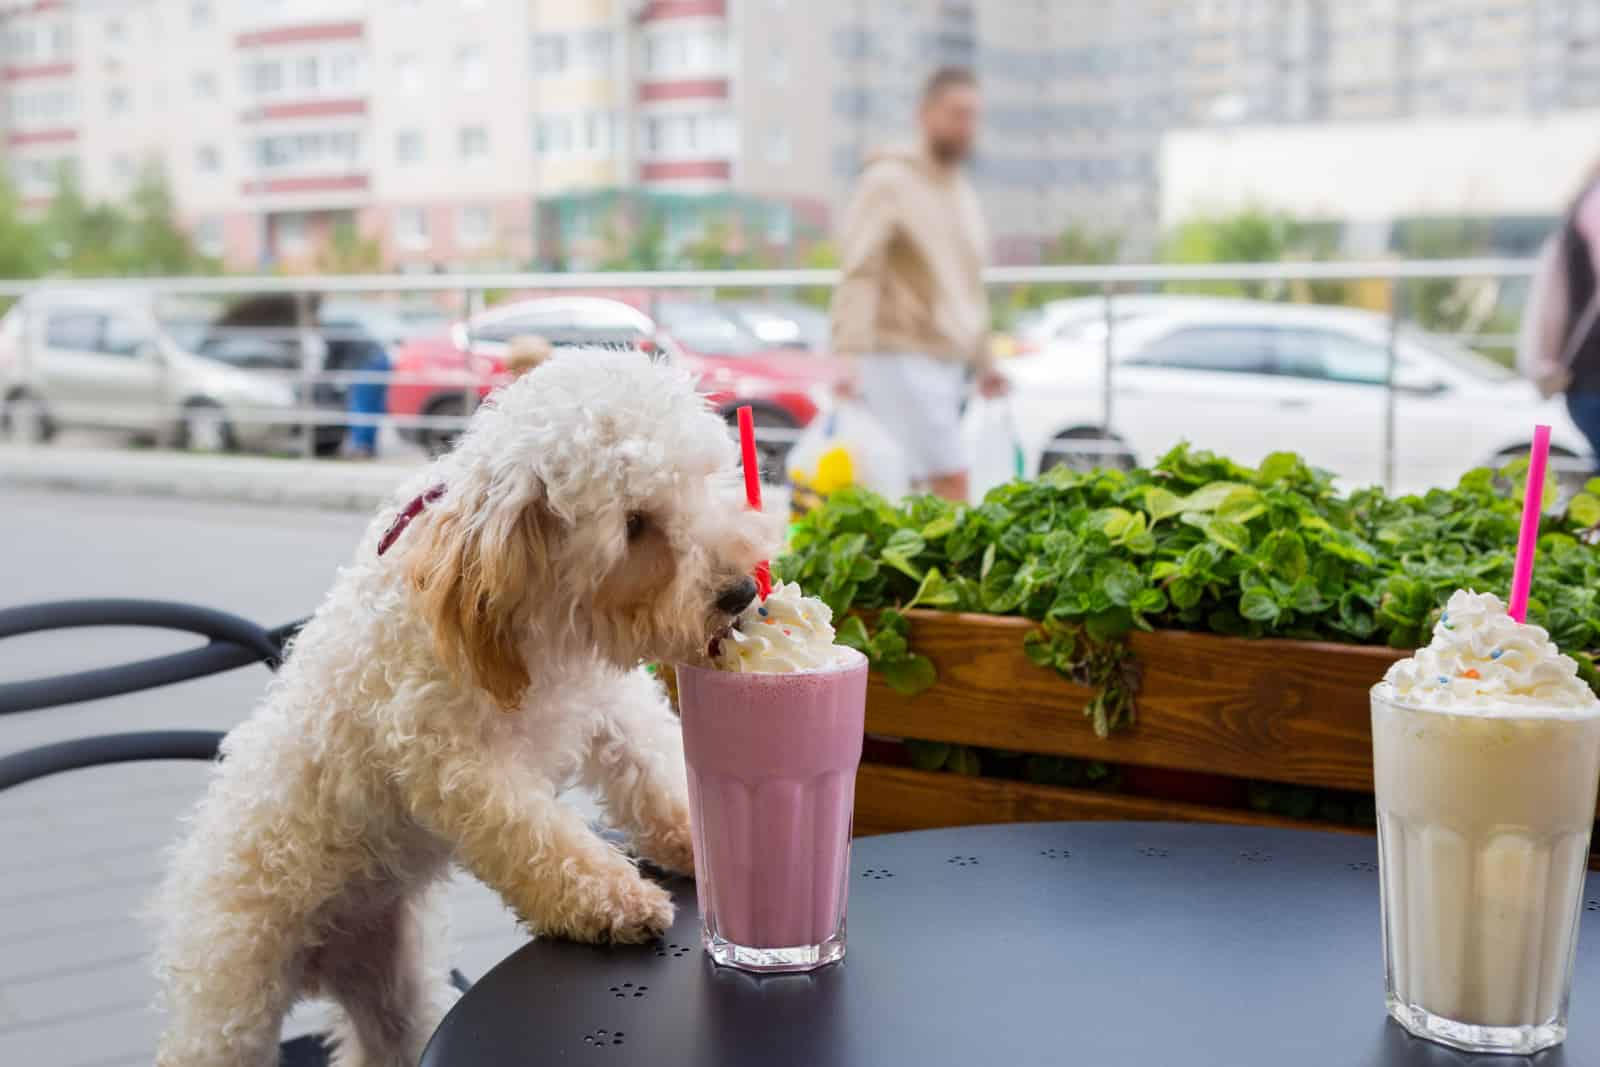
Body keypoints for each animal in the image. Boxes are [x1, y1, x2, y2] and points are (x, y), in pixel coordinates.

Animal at [152, 351, 777, 1067]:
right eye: (635, 523)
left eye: (704, 482)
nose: (740, 592)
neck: (532, 619)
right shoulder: (453, 757)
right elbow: (537, 835)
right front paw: (611, 899)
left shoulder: (609, 706)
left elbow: (656, 773)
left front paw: (693, 840)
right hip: (232, 1000)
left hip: (393, 991)